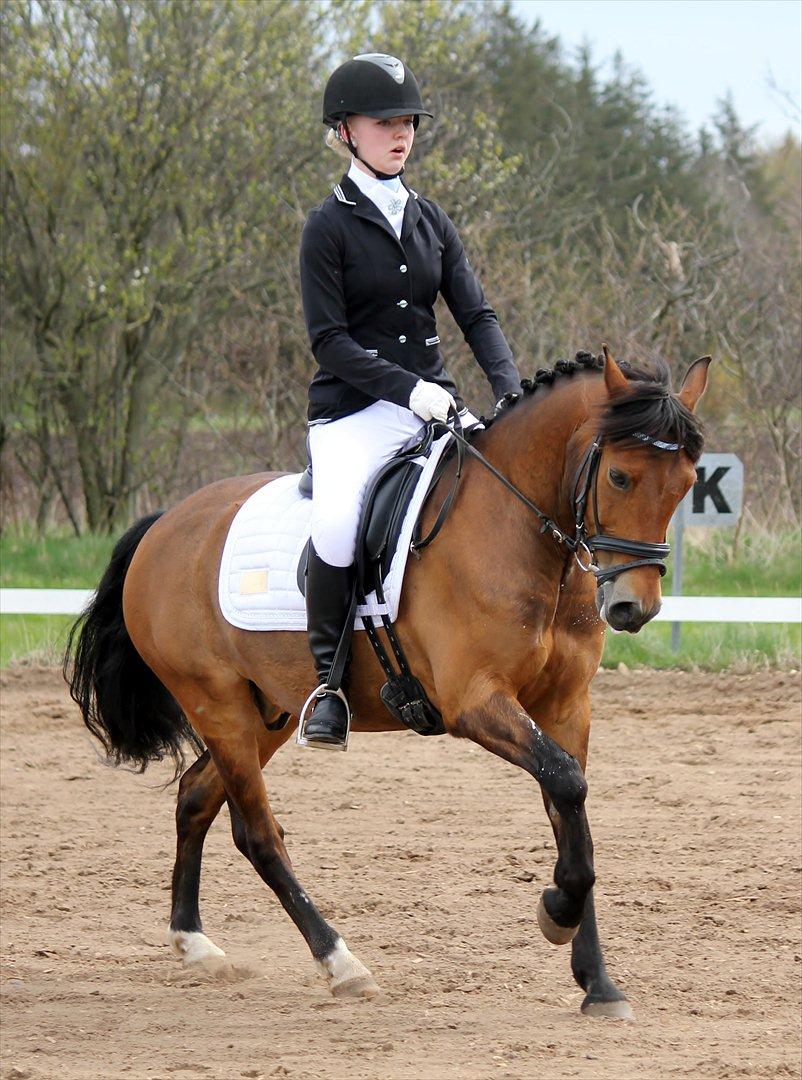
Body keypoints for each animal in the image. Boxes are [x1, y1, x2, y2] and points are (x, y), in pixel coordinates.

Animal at [65, 347, 710, 1018]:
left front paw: (598, 982)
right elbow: (565, 784)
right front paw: (556, 912)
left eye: (687, 484)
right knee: (258, 833)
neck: (520, 529)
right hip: (215, 705)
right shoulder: (474, 702)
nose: (634, 608)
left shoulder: (565, 707)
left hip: (269, 712)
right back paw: (341, 963)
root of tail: (167, 523)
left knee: (196, 797)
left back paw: (194, 943)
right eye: (620, 478)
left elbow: (570, 807)